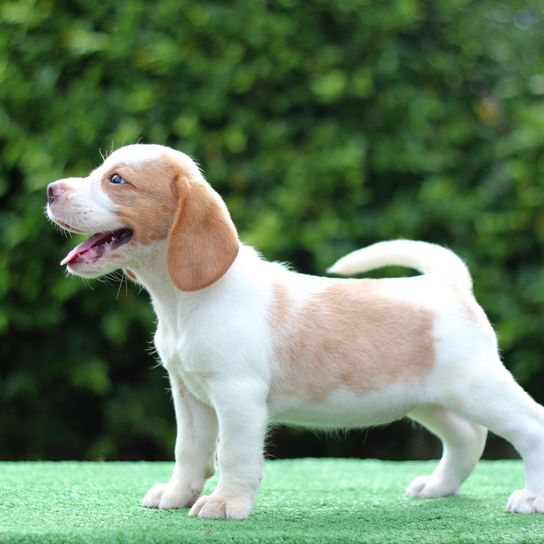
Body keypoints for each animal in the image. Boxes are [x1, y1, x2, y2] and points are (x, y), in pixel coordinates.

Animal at [45, 143, 544, 520]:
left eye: (116, 180)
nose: (50, 189)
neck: (182, 302)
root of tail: (449, 283)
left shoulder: (237, 396)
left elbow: (233, 454)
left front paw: (226, 503)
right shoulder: (188, 397)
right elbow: (189, 451)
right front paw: (177, 495)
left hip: (476, 387)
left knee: (531, 425)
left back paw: (531, 498)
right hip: (429, 400)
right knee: (468, 438)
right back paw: (439, 486)